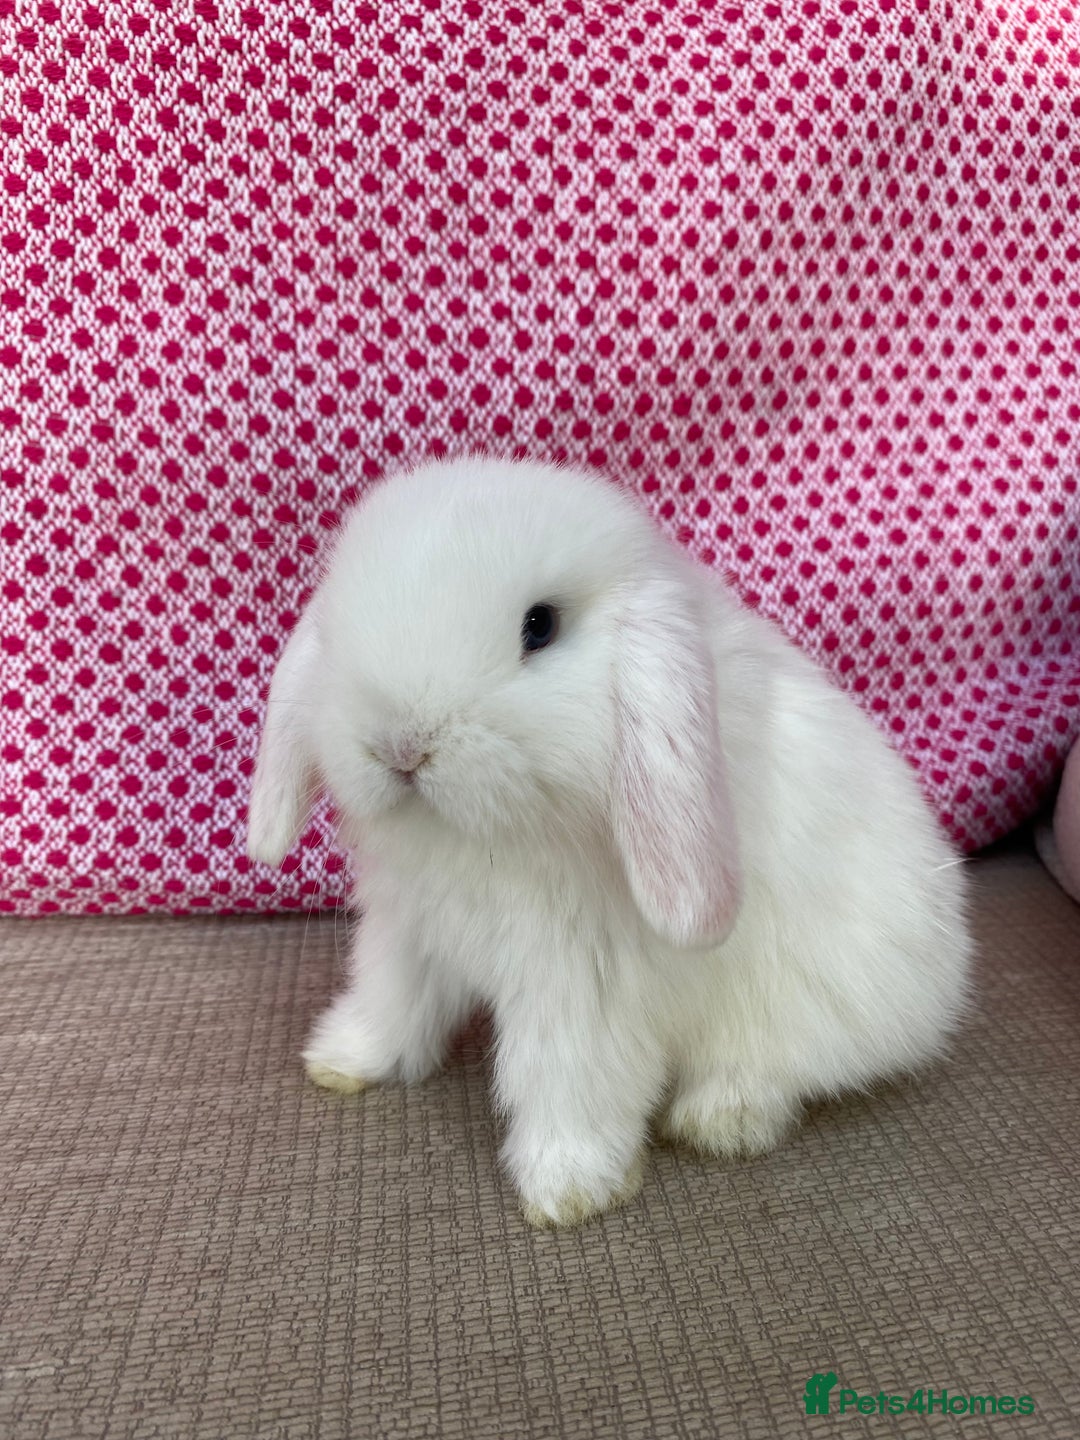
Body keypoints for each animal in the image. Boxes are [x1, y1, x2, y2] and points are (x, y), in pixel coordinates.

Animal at [247, 456, 973, 1229]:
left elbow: (566, 1074)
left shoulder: (582, 979)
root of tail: (945, 980)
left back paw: (722, 1119)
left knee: (780, 1066)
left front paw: (568, 1189)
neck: (481, 840)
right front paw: (343, 1060)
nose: (399, 746)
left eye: (540, 626)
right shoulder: (408, 932)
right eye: (338, 622)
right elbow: (391, 1002)